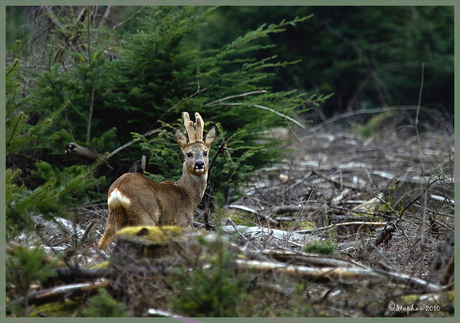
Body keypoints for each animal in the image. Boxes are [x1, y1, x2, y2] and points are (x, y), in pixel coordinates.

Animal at [98, 112, 217, 252]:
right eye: (189, 154)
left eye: (205, 152)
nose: (199, 164)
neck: (189, 195)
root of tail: (118, 188)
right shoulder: (181, 221)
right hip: (146, 213)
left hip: (115, 214)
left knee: (103, 242)